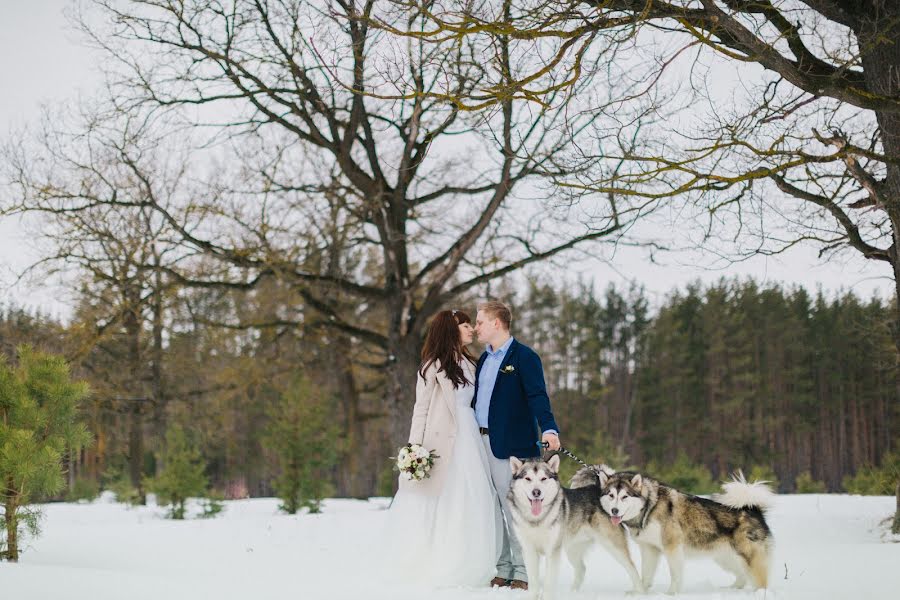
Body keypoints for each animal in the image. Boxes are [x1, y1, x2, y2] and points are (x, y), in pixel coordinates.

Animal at [506, 454, 648, 600]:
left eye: (543, 478)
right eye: (528, 478)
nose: (536, 492)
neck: (536, 519)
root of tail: (598, 489)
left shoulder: (553, 550)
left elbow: (549, 580)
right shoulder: (529, 550)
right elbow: (533, 580)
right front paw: (532, 596)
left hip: (613, 545)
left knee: (631, 567)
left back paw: (640, 593)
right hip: (572, 548)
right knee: (582, 569)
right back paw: (572, 592)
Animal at [592, 466, 772, 592]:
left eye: (625, 496)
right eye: (611, 495)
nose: (614, 510)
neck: (649, 507)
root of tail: (753, 509)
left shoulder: (672, 547)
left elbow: (675, 575)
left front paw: (671, 594)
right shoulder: (649, 548)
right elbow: (646, 573)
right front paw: (640, 591)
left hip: (748, 557)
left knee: (760, 581)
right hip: (725, 557)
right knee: (742, 575)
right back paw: (732, 589)